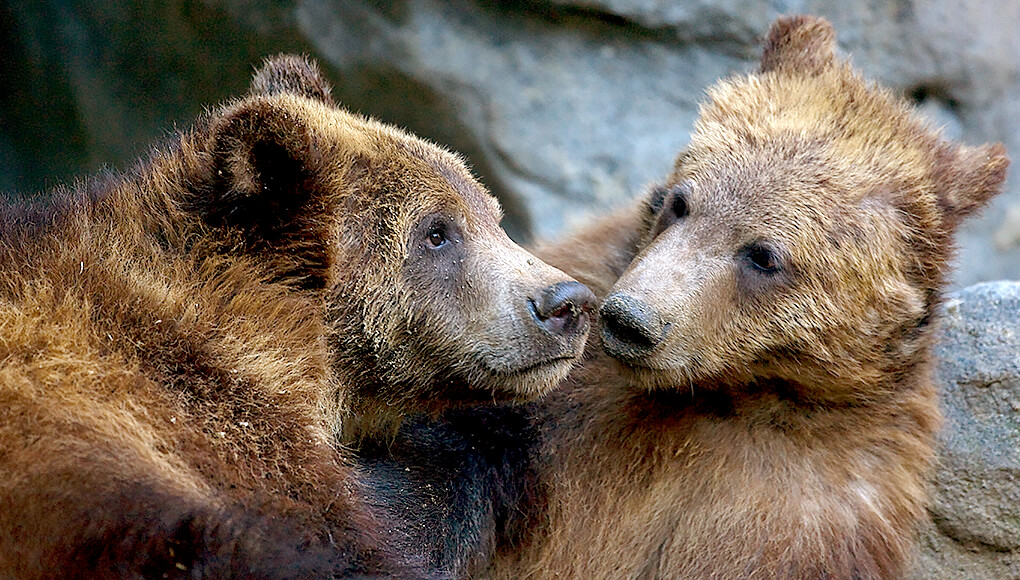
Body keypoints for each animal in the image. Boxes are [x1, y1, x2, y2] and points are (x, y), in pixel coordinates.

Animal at [495, 13, 1011, 578]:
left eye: (763, 255)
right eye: (681, 201)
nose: (631, 320)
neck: (726, 390)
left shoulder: (801, 507)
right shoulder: (572, 391)